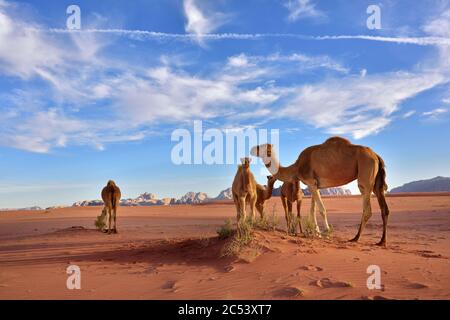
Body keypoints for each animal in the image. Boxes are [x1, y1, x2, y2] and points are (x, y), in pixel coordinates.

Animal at [250, 136, 390, 246]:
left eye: (259, 147)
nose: (251, 149)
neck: (296, 167)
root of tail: (376, 155)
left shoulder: (311, 182)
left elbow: (321, 209)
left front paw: (327, 233)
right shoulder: (315, 185)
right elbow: (313, 211)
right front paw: (317, 233)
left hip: (365, 176)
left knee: (367, 209)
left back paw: (356, 238)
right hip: (376, 181)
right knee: (384, 208)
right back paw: (381, 241)